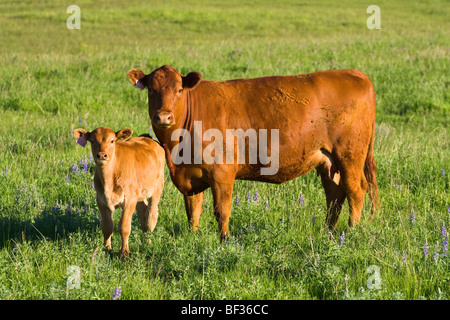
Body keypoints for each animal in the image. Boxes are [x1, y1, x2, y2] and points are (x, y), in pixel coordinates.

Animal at [73, 126, 164, 256]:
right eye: (92, 141)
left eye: (112, 141)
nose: (102, 155)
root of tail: (147, 138)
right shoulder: (101, 201)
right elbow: (107, 227)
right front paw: (107, 248)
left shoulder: (129, 200)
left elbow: (124, 227)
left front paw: (124, 252)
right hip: (140, 194)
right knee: (143, 213)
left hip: (157, 188)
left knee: (150, 217)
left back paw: (148, 242)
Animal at [128, 65, 378, 240]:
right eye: (151, 90)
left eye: (179, 89)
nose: (163, 116)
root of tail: (354, 73)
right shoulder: (190, 177)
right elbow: (193, 212)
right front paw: (193, 239)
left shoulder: (222, 174)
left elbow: (222, 211)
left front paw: (224, 241)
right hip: (328, 161)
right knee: (335, 195)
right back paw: (329, 233)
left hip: (350, 155)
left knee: (356, 190)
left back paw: (351, 231)